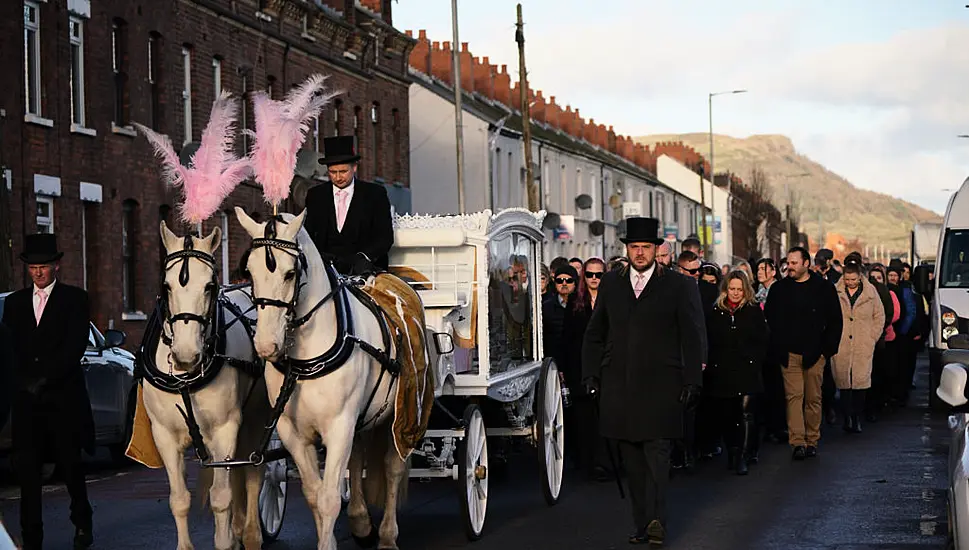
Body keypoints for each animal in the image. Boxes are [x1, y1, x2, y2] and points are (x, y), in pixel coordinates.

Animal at [140, 223, 270, 550]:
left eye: (210, 286)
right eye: (167, 286)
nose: (186, 356)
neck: (186, 378)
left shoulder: (225, 429)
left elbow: (221, 497)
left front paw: (226, 540)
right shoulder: (164, 435)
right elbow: (179, 500)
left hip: (255, 420)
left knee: (253, 473)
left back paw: (250, 534)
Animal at [236, 210, 410, 550]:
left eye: (290, 273)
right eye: (249, 272)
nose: (266, 345)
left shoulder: (340, 424)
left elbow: (329, 498)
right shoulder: (293, 433)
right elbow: (315, 495)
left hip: (400, 415)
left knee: (393, 468)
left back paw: (387, 535)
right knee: (357, 459)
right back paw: (361, 522)